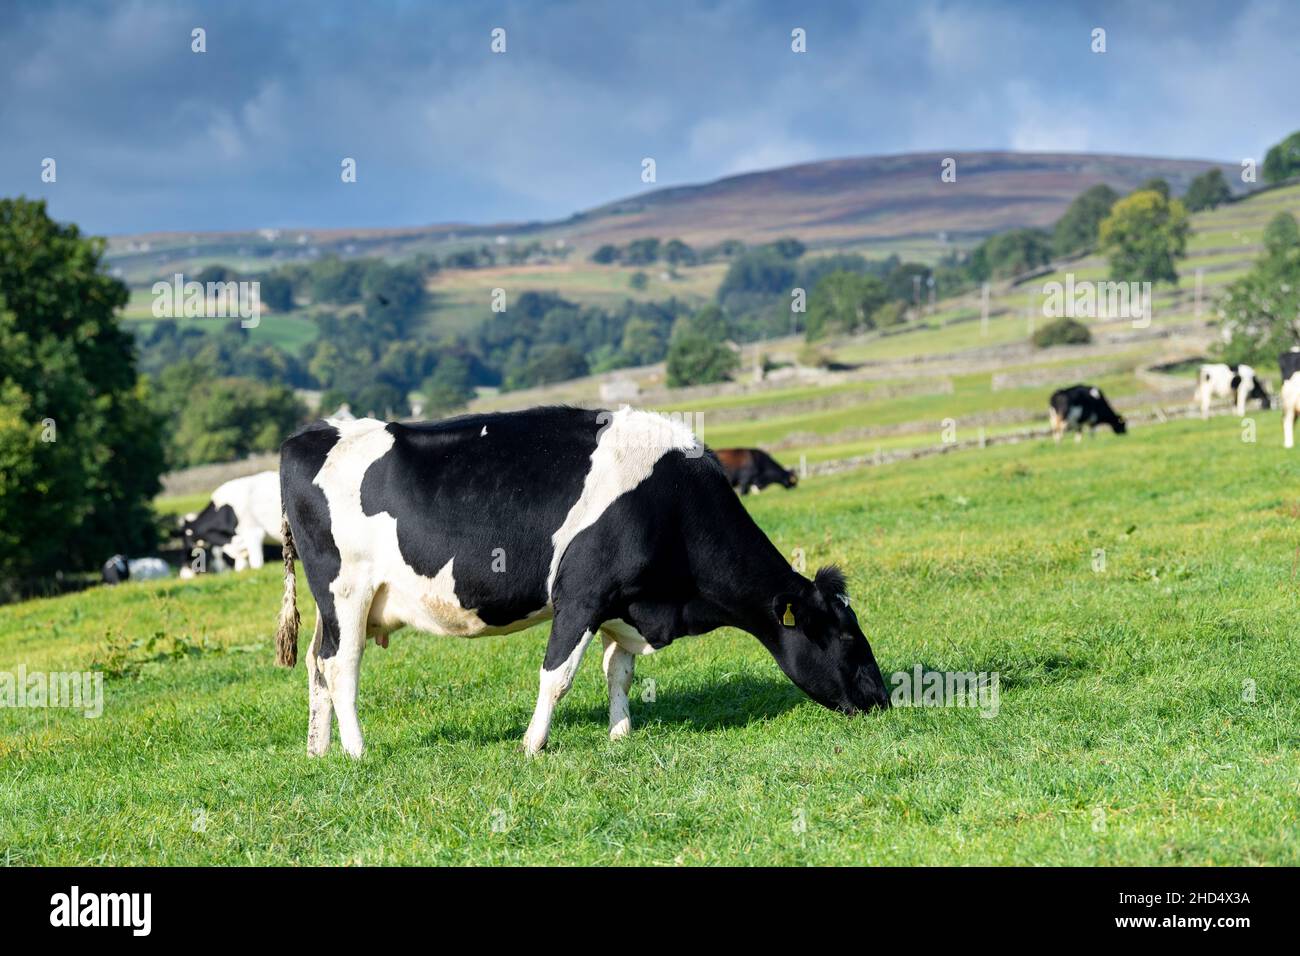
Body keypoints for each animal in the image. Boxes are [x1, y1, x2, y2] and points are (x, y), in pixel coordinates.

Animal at [274, 406, 888, 758]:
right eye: (846, 638)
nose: (883, 699)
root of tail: (304, 438)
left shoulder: (625, 603)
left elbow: (619, 671)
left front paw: (620, 734)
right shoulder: (581, 595)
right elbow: (558, 676)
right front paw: (532, 745)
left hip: (337, 606)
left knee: (317, 664)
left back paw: (318, 750)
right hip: (347, 591)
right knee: (341, 666)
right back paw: (356, 751)